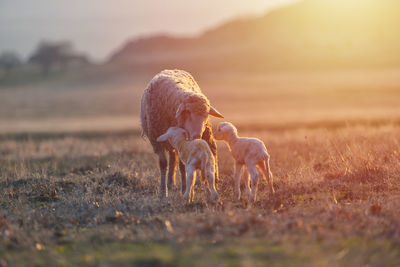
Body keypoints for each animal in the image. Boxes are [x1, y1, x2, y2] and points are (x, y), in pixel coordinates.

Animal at [139, 69, 223, 199]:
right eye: (187, 112)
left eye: (205, 116)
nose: (197, 136)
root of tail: (171, 69)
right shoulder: (156, 140)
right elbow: (163, 164)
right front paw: (162, 192)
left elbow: (183, 166)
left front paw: (184, 189)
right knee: (173, 157)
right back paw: (170, 183)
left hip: (207, 132)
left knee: (213, 148)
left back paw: (216, 179)